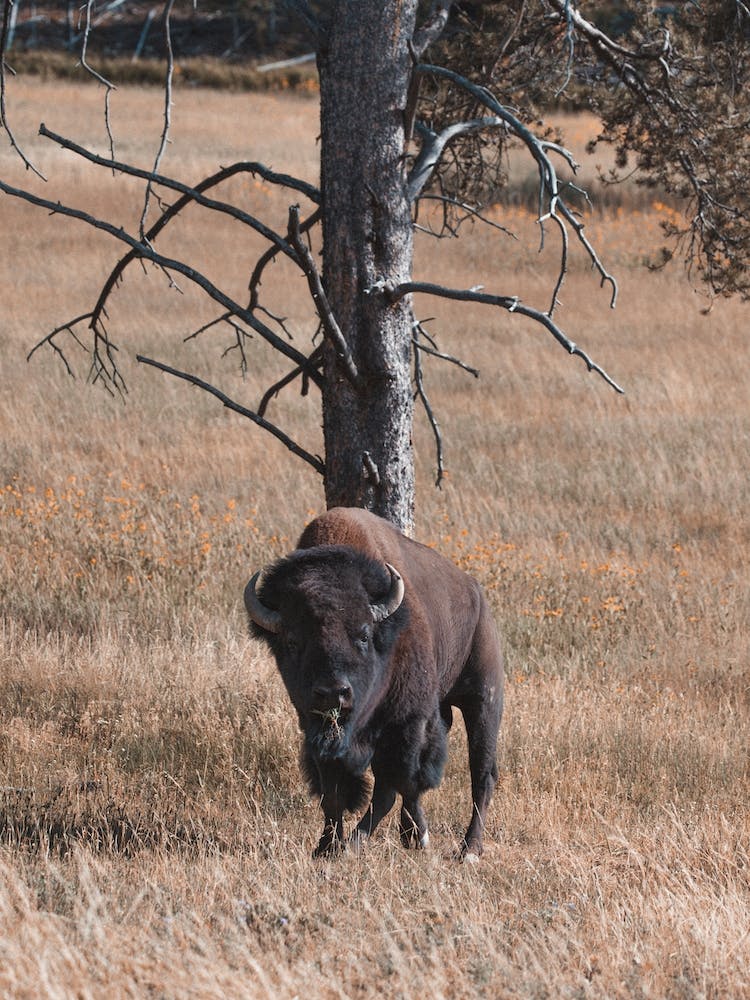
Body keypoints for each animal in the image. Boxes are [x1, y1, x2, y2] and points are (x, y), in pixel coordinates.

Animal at [245, 507, 504, 859]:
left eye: (364, 635)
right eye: (292, 641)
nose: (334, 693)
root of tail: (475, 591)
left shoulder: (405, 726)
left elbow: (392, 789)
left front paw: (356, 845)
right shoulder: (318, 733)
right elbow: (334, 794)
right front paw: (326, 847)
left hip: (484, 701)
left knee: (481, 776)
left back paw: (469, 850)